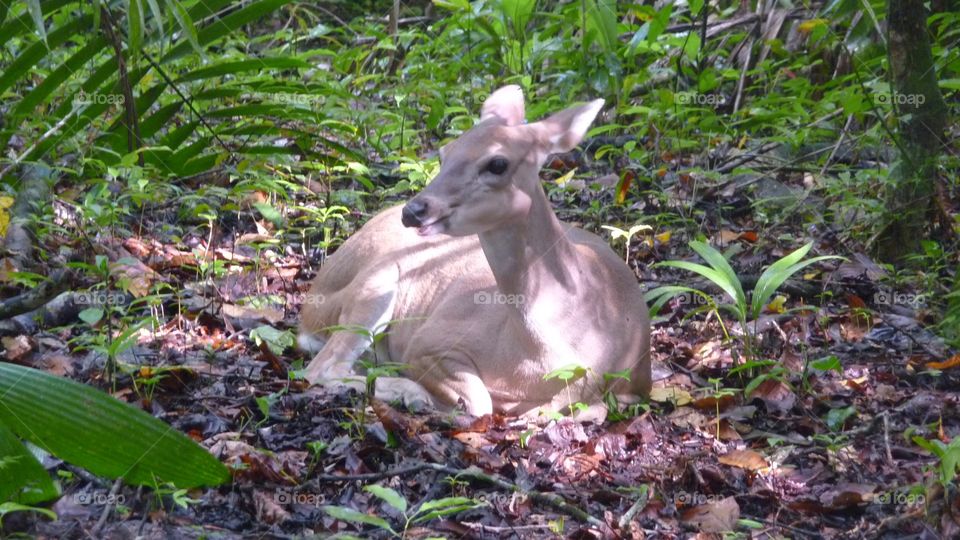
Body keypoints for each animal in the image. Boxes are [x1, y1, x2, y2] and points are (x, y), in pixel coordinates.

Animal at [298, 85, 652, 422]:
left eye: (498, 163)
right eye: (445, 152)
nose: (413, 211)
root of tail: (307, 313)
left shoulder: (635, 384)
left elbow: (591, 409)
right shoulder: (430, 340)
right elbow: (480, 401)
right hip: (375, 284)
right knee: (320, 368)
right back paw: (409, 392)